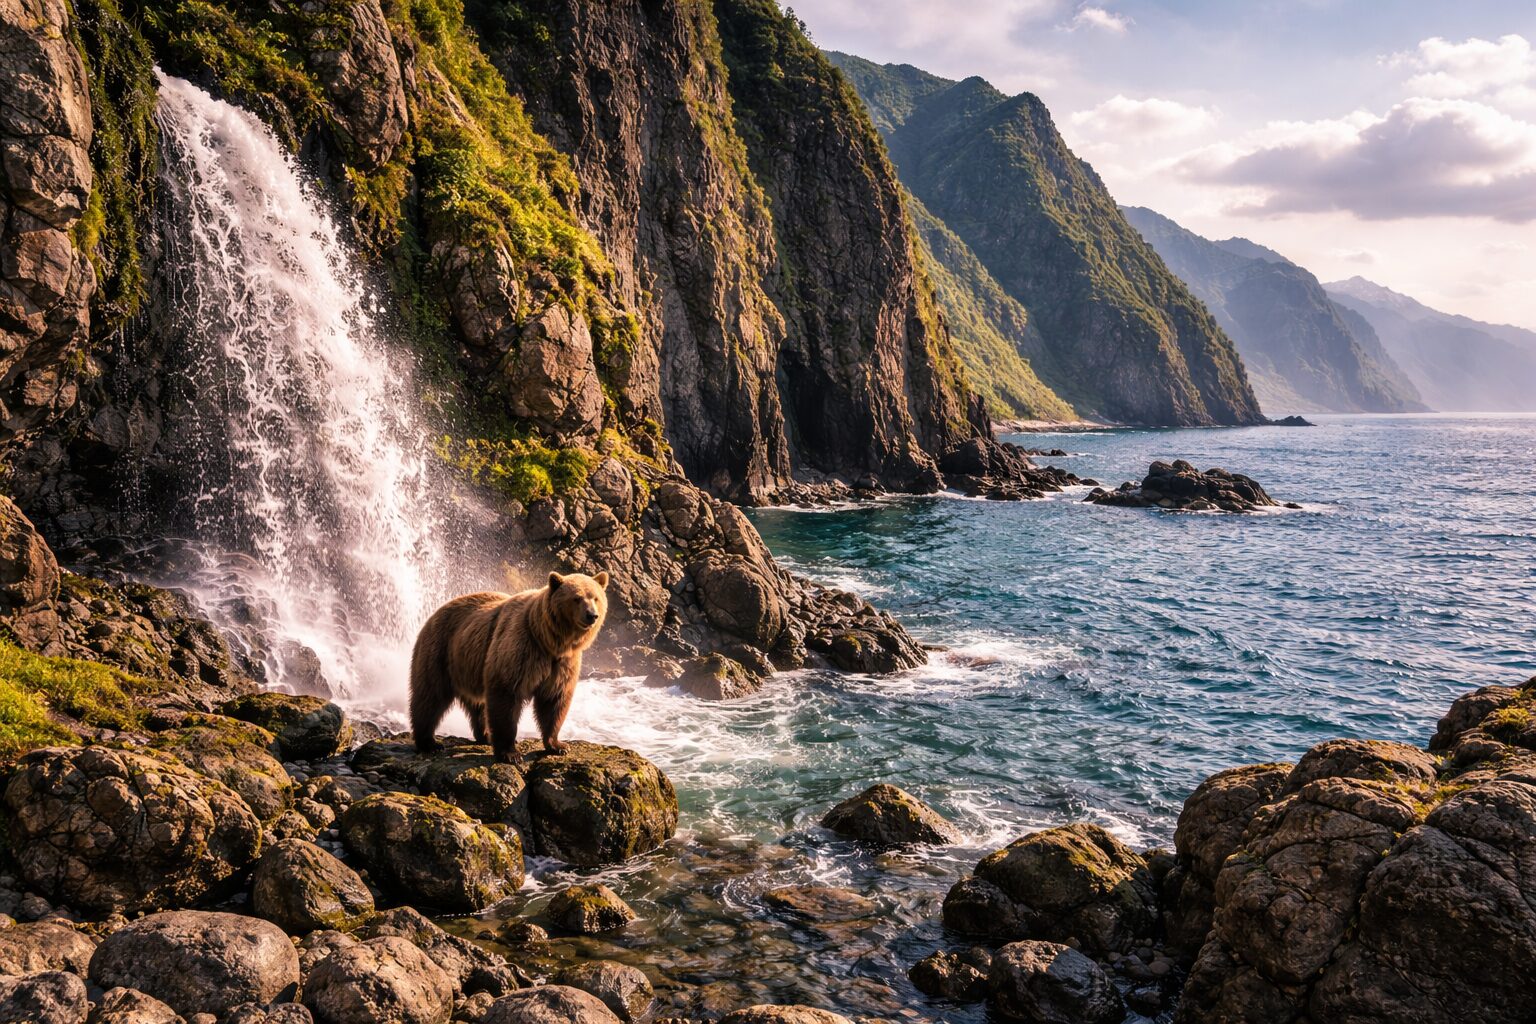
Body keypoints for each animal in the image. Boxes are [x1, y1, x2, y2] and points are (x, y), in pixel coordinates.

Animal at [409, 571, 609, 763]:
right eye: (577, 598)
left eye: (595, 597)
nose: (592, 615)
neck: (550, 641)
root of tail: (436, 611)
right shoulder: (522, 650)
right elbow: (506, 696)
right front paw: (510, 753)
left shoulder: (562, 664)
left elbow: (554, 700)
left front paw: (558, 745)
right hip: (440, 651)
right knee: (430, 695)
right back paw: (429, 743)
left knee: (478, 705)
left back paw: (485, 735)